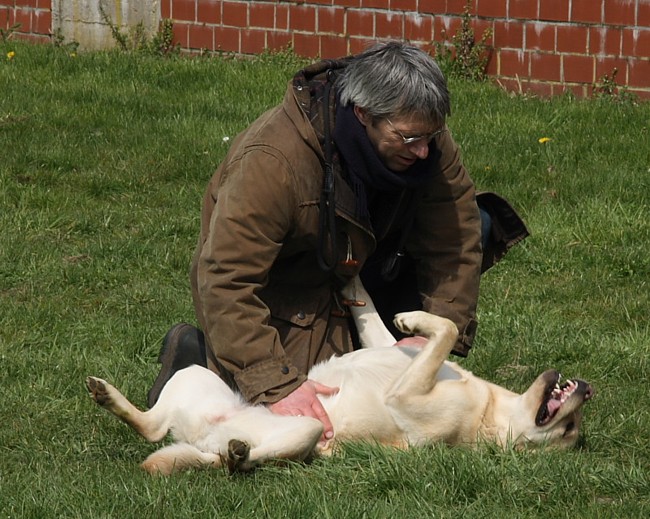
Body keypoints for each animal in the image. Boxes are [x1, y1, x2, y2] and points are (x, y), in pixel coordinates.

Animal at [83, 278, 588, 474]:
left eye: (569, 431)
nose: (587, 389)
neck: (488, 409)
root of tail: (205, 440)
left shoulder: (407, 397)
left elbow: (445, 329)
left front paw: (416, 317)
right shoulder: (394, 349)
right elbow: (380, 319)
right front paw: (361, 289)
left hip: (304, 430)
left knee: (228, 458)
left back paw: (238, 454)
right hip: (194, 376)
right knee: (154, 426)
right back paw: (108, 396)